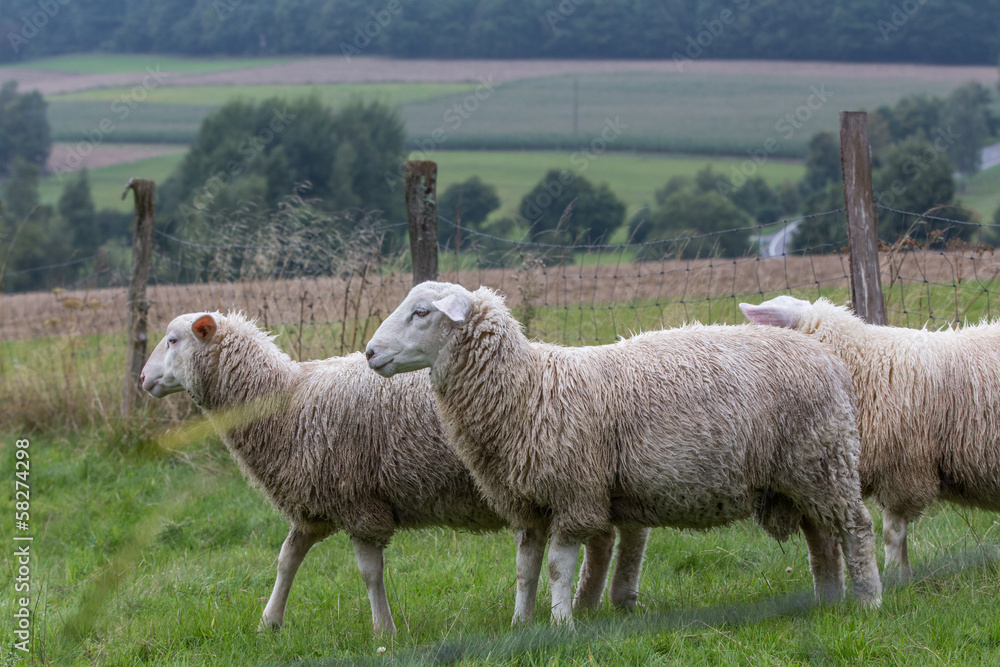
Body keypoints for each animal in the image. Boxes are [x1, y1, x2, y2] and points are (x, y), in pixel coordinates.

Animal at [140, 311, 623, 634]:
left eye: (173, 340)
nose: (142, 379)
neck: (288, 398)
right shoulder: (314, 504)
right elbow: (286, 559)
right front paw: (269, 622)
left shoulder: (358, 501)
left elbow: (369, 573)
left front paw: (383, 629)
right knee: (603, 538)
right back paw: (589, 605)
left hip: (573, 477)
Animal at [365, 281, 882, 625]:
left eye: (421, 313)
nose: (370, 353)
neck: (529, 389)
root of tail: (828, 356)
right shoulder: (529, 504)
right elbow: (525, 571)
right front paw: (519, 626)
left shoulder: (574, 493)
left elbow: (557, 566)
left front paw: (561, 626)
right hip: (803, 472)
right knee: (821, 537)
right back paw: (827, 599)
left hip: (824, 459)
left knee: (856, 527)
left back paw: (869, 600)